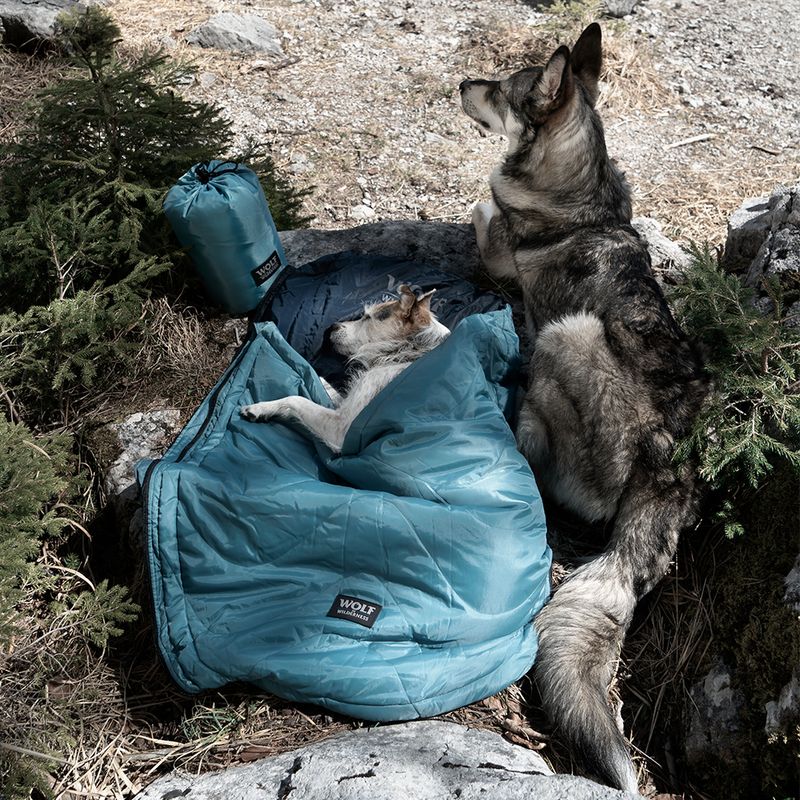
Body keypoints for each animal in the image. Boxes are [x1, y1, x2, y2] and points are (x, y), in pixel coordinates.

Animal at [240, 285, 449, 452]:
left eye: (367, 317)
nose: (331, 326)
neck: (406, 351)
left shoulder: (342, 428)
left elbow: (295, 399)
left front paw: (259, 407)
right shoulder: (346, 403)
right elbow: (324, 386)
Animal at [460, 23, 708, 794]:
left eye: (500, 89)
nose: (461, 82)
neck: (584, 202)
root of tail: (667, 474)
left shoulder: (498, 250)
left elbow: (482, 210)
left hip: (566, 333)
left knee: (537, 463)